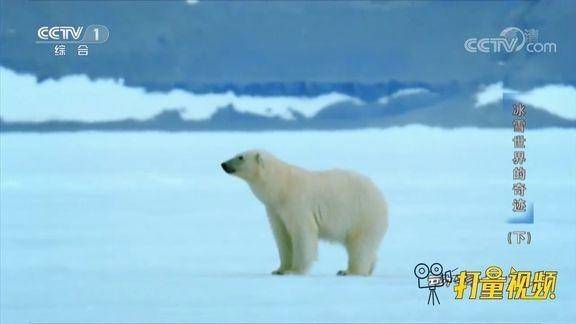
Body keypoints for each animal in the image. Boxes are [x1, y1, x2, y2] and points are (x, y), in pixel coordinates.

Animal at [220, 150, 388, 276]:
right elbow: (282, 236)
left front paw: (294, 271)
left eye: (240, 157)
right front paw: (279, 269)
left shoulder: (297, 202)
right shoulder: (275, 209)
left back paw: (349, 271)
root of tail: (381, 197)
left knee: (360, 244)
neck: (281, 186)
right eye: (237, 153)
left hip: (362, 214)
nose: (223, 164)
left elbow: (302, 234)